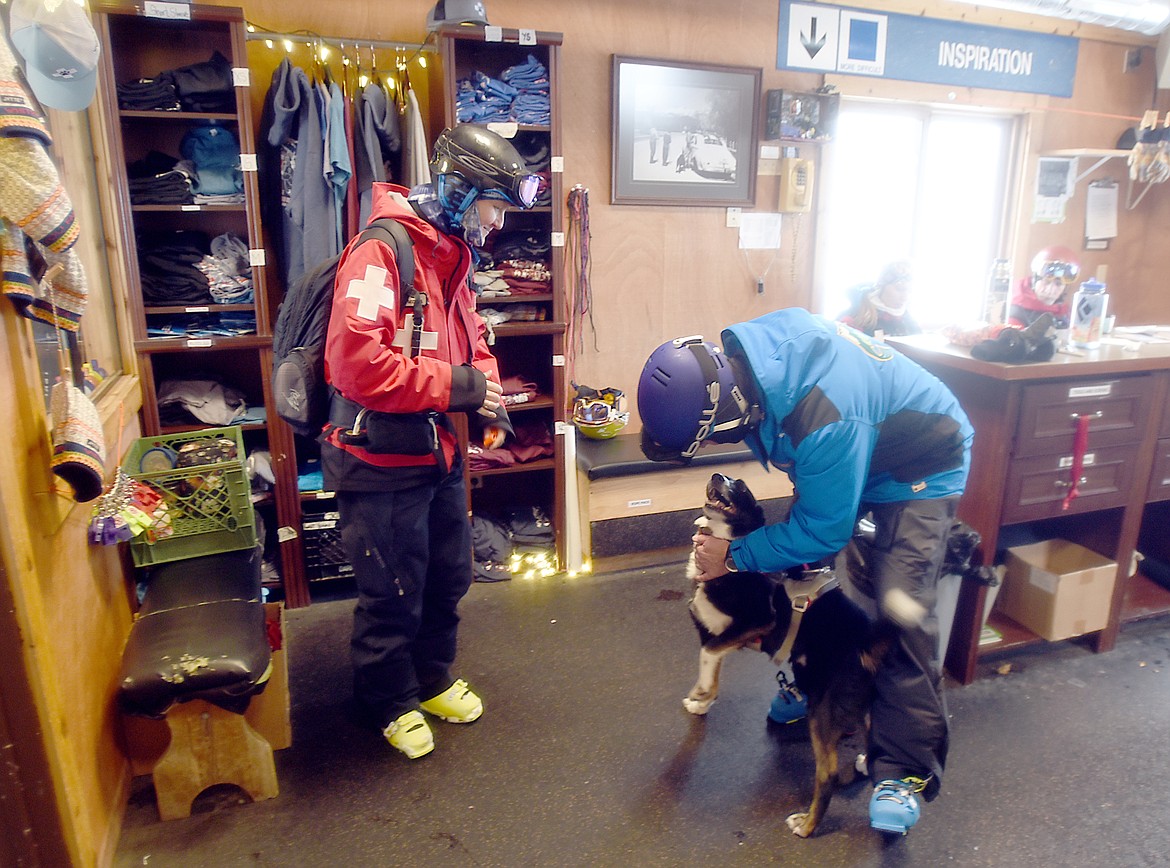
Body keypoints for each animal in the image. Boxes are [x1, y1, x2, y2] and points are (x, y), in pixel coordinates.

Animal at [683, 474, 917, 842]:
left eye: (742, 487)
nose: (718, 476)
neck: (730, 554)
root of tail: (866, 639)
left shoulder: (755, 623)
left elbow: (707, 657)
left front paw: (701, 691)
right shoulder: (716, 634)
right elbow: (713, 666)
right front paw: (703, 702)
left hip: (822, 709)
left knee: (827, 773)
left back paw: (807, 825)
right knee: (871, 731)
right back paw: (864, 761)